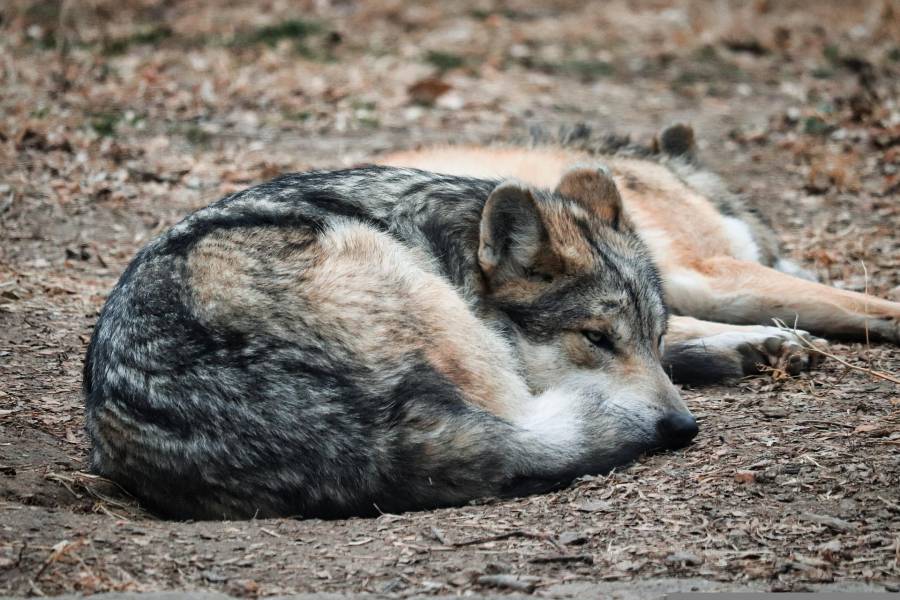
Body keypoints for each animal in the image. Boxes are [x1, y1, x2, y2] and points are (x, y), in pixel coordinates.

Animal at [84, 124, 900, 516]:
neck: (447, 232)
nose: (682, 429)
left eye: (648, 336)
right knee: (530, 426)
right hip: (414, 293)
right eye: (594, 338)